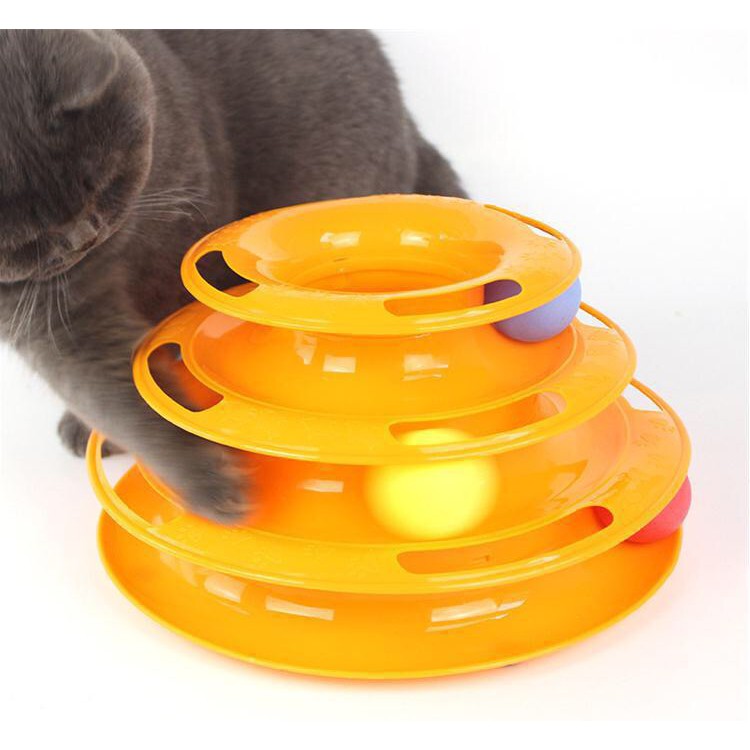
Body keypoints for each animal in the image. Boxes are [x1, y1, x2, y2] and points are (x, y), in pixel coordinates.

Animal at [0, 30, 465, 522]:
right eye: (27, 242)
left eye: (106, 184)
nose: (82, 236)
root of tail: (411, 127)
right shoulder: (52, 317)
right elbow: (111, 390)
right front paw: (207, 477)